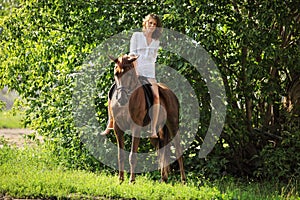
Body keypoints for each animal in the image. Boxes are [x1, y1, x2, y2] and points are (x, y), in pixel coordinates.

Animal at [109, 54, 186, 184]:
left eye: (129, 74)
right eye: (116, 74)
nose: (121, 99)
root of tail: (170, 92)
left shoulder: (136, 128)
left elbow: (132, 156)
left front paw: (132, 181)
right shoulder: (118, 128)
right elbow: (121, 155)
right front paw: (120, 180)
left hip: (173, 124)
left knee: (178, 148)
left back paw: (183, 180)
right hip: (156, 132)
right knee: (161, 149)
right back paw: (163, 178)